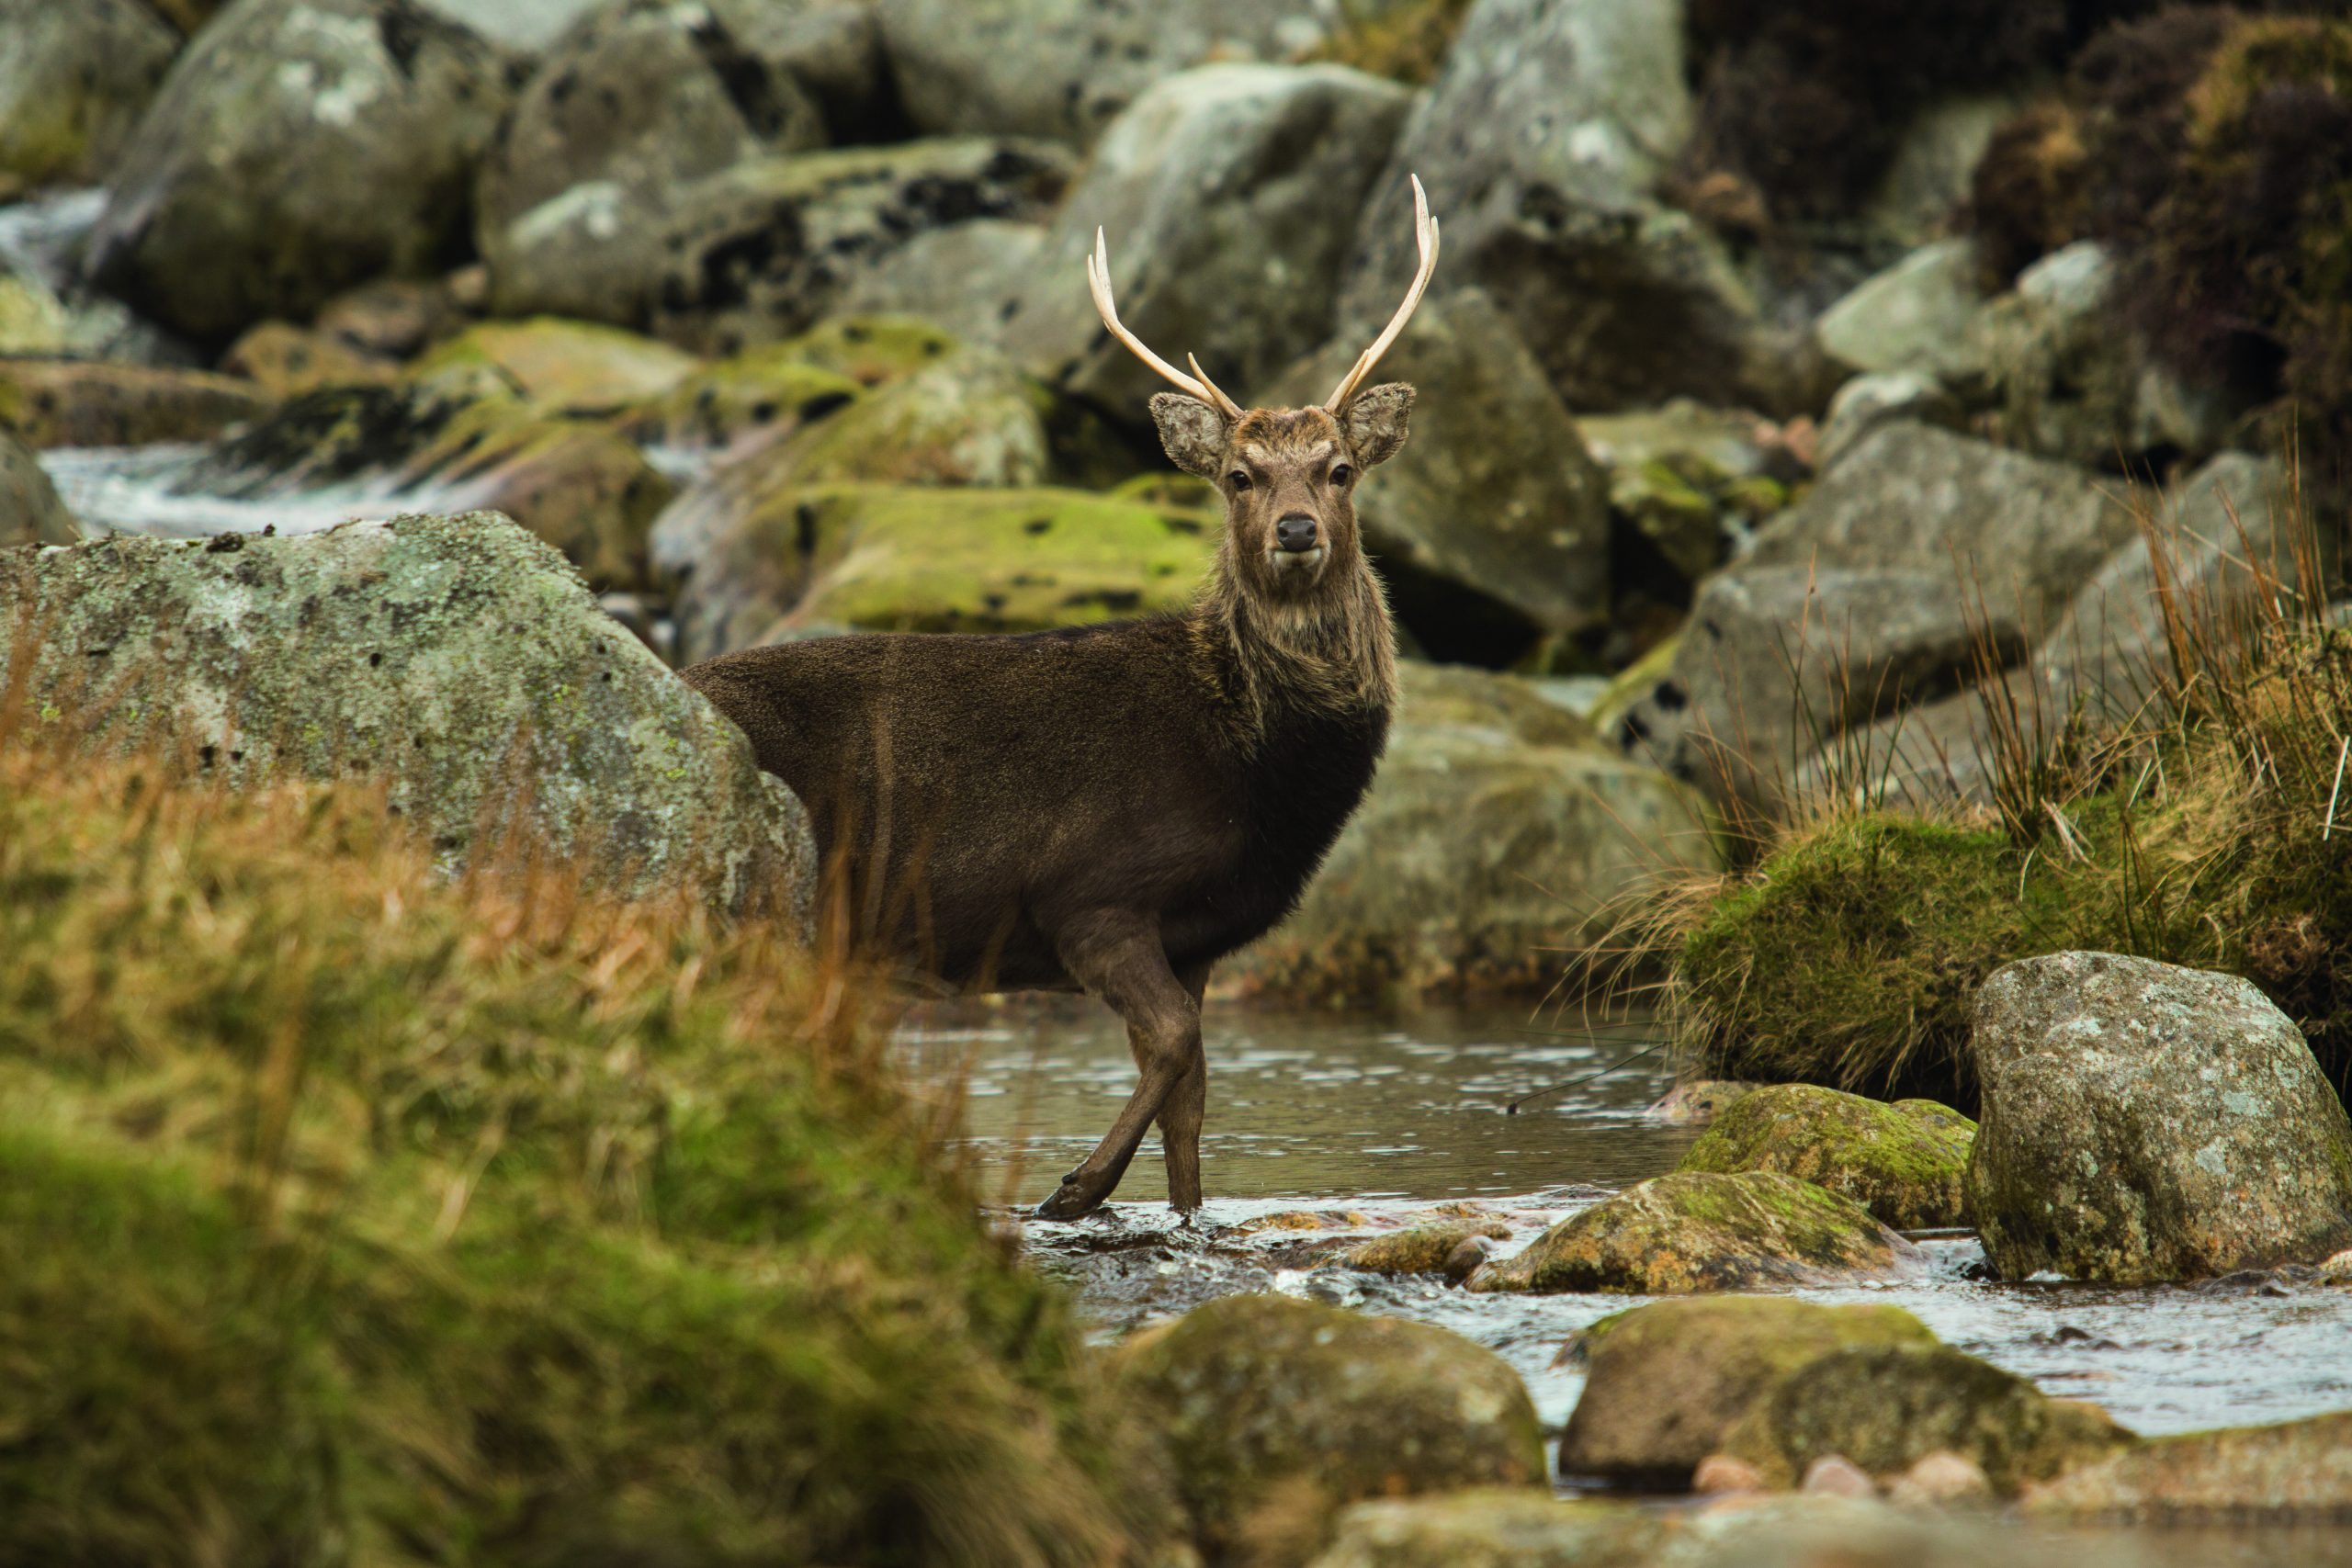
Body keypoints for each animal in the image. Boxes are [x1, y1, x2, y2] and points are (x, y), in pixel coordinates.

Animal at [682, 179, 1440, 1220]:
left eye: (1340, 470)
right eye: (1238, 477)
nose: (1294, 530)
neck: (1253, 770)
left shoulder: (1199, 934)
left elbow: (1194, 1105)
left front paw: (1176, 1213)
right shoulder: (1092, 892)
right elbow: (1174, 1046)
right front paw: (1073, 1190)